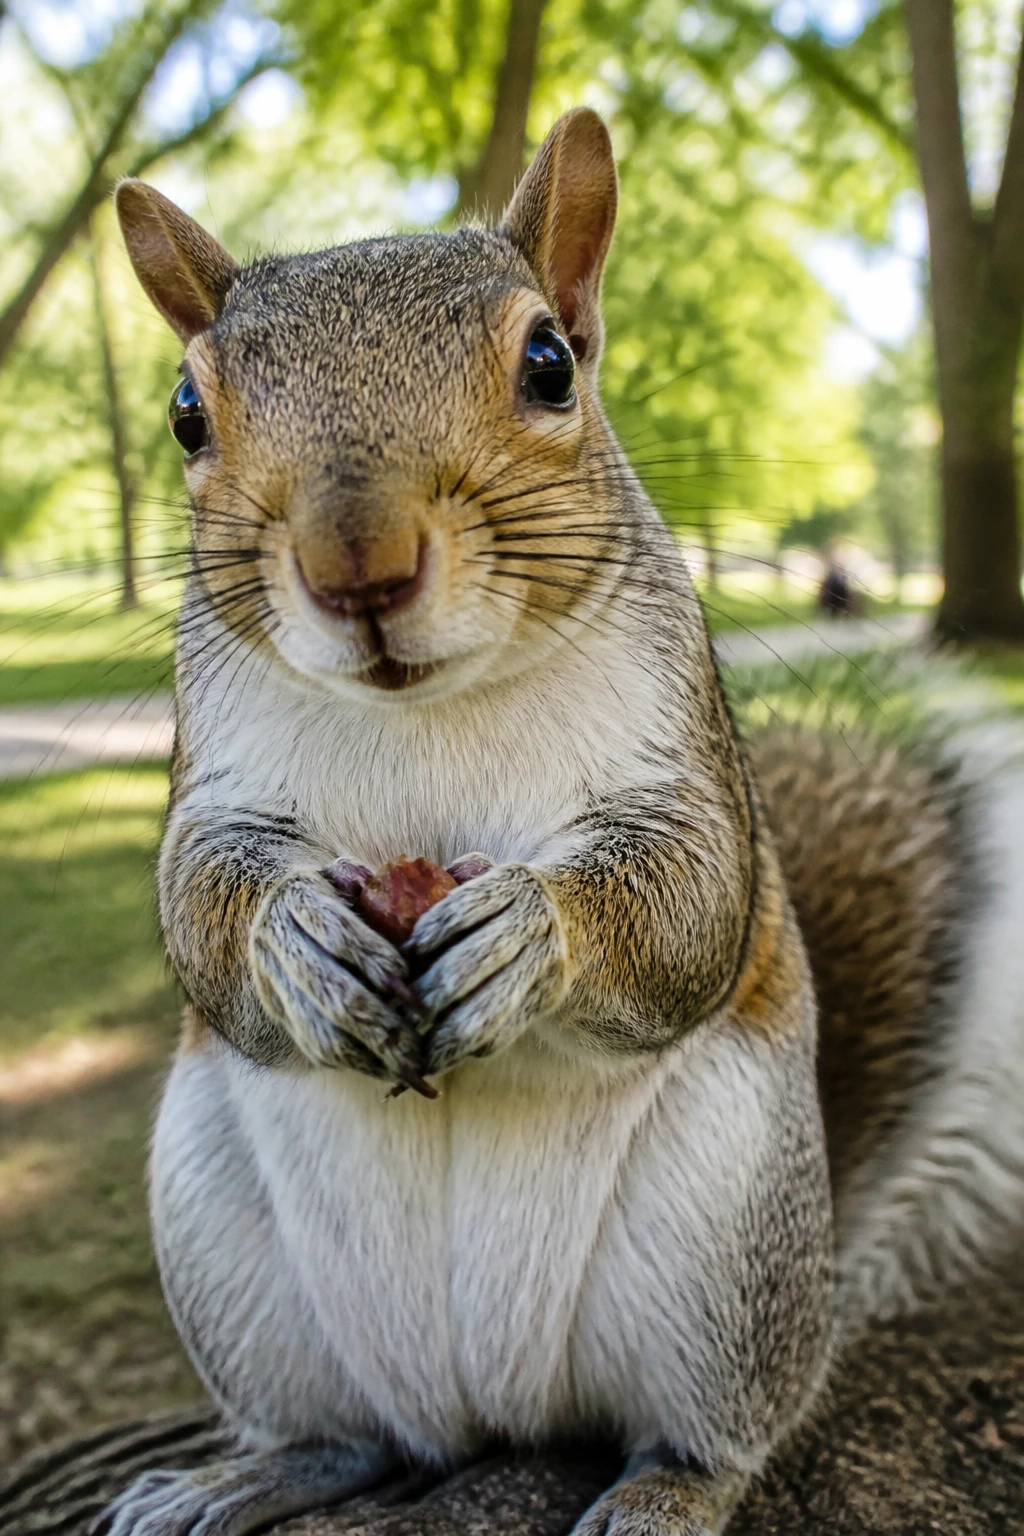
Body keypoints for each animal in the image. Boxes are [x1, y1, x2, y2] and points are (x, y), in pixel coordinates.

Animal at [96, 109, 1024, 1536]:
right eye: (186, 414)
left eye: (548, 364)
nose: (358, 568)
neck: (427, 708)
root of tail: (494, 1413)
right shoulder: (212, 786)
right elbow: (198, 909)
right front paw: (295, 946)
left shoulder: (686, 771)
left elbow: (688, 905)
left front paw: (527, 938)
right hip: (229, 1262)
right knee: (345, 1441)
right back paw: (230, 1480)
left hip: (722, 1259)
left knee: (713, 1437)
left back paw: (660, 1500)